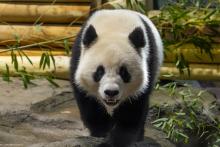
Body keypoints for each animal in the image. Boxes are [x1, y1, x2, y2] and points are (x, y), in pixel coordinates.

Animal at [70, 9, 163, 147]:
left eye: (124, 73)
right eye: (99, 72)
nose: (111, 92)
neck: (114, 28)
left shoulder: (148, 64)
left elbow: (132, 108)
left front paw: (118, 139)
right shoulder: (78, 58)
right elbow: (88, 100)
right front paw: (101, 132)